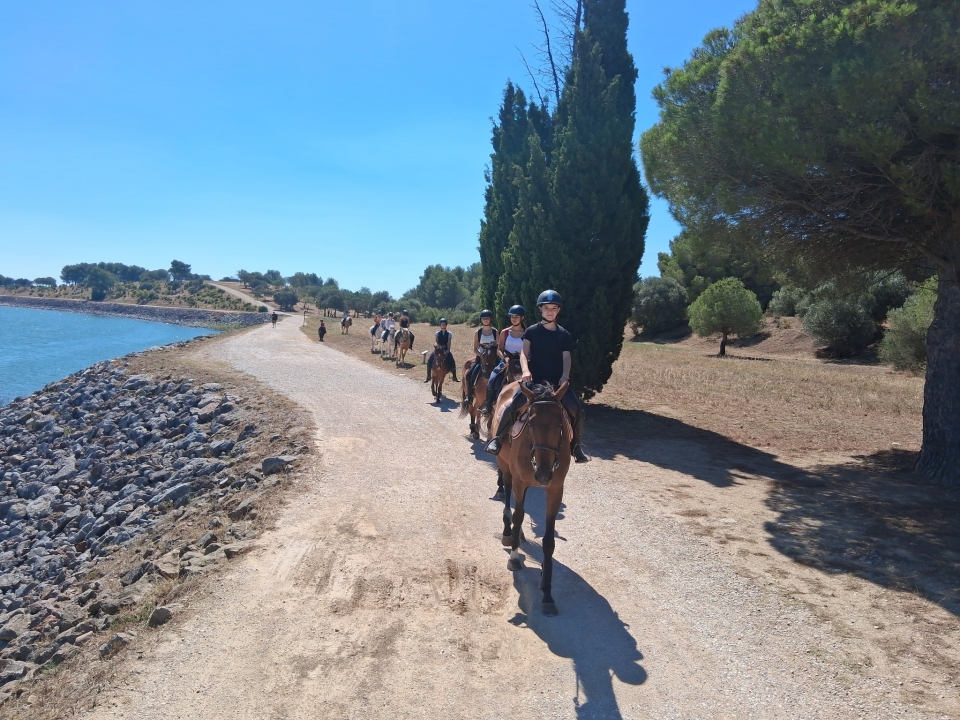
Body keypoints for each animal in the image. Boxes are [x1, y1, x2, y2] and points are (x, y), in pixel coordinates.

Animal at [495, 381, 571, 616]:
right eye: (530, 425)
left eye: (560, 424)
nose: (544, 474)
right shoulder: (520, 481)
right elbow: (519, 516)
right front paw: (514, 558)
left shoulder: (555, 489)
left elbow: (548, 540)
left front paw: (547, 591)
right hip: (505, 466)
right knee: (508, 494)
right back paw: (508, 531)